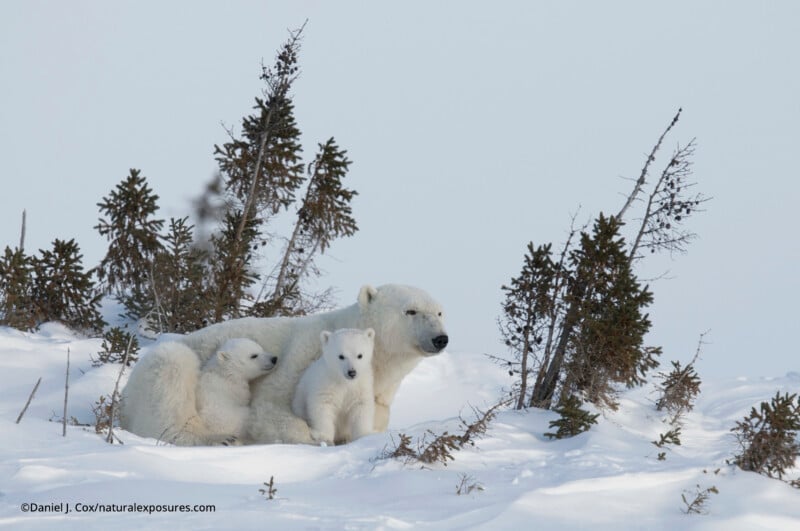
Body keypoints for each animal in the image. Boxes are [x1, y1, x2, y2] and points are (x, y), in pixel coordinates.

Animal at [119, 284, 448, 445]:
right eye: (411, 311)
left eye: (440, 312)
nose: (440, 339)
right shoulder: (303, 356)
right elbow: (269, 407)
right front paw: (315, 438)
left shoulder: (378, 392)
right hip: (161, 371)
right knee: (172, 377)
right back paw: (218, 439)